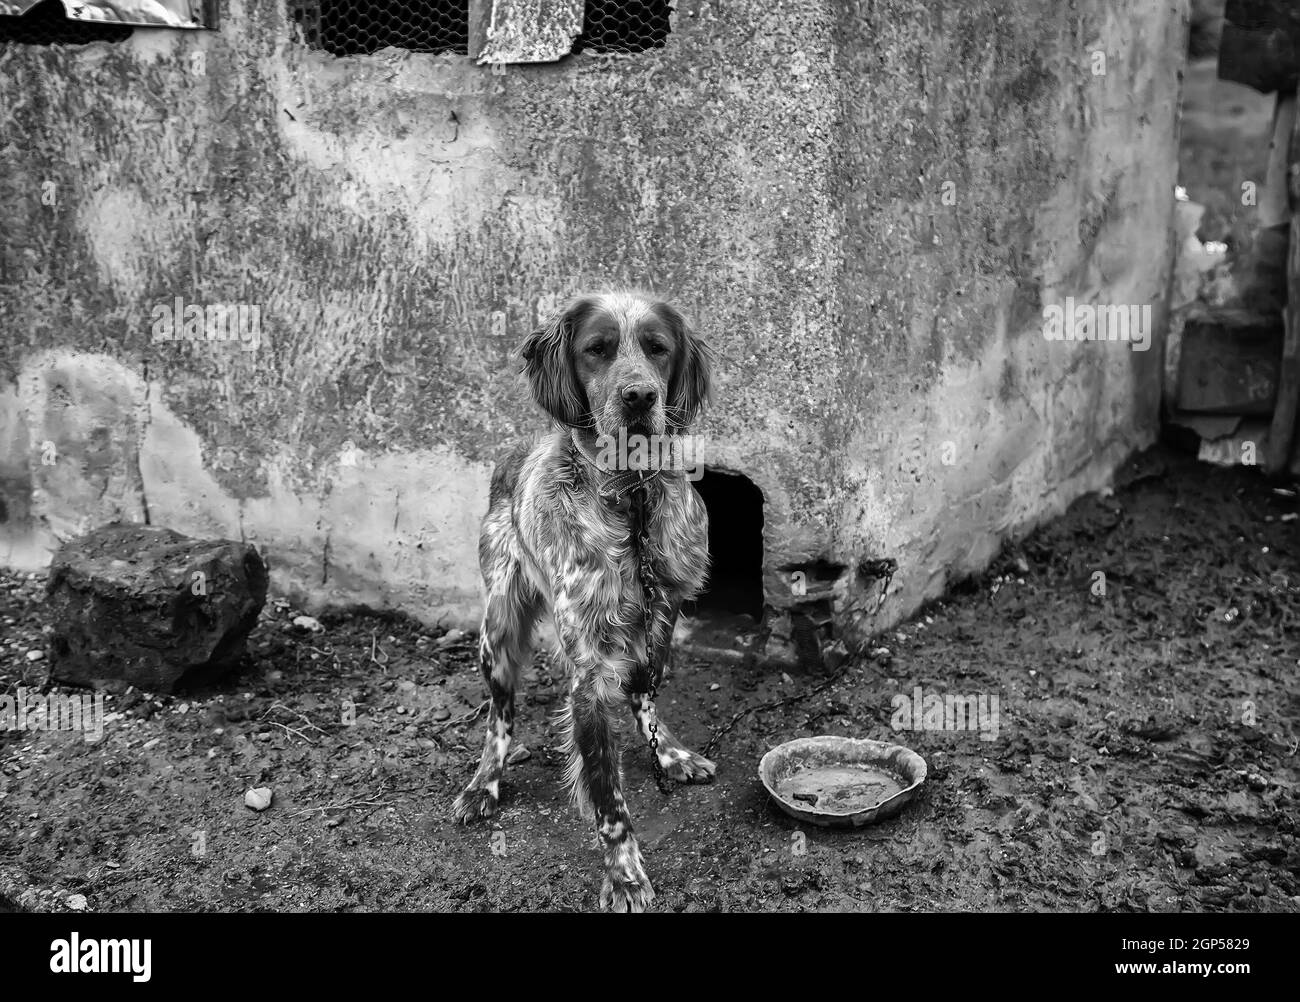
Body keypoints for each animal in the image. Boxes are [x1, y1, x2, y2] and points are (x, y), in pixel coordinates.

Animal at [452, 288, 717, 909]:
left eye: (657, 348)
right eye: (597, 349)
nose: (639, 396)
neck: (631, 499)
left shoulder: (665, 609)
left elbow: (645, 694)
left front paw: (666, 753)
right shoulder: (589, 668)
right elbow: (607, 796)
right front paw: (624, 875)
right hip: (497, 629)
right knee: (499, 717)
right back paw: (484, 783)